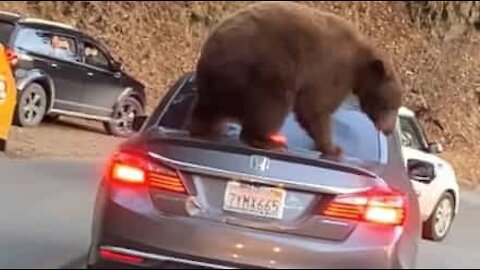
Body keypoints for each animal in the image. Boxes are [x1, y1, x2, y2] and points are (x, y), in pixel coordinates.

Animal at [187, 1, 402, 159]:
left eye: (396, 107)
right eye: (390, 106)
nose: (388, 129)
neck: (359, 66)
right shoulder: (331, 70)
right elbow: (315, 107)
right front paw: (333, 148)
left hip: (220, 86)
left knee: (208, 109)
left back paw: (207, 129)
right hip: (260, 71)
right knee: (272, 104)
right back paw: (266, 140)